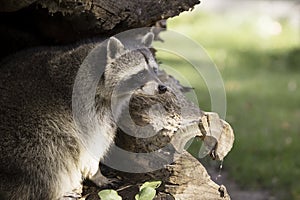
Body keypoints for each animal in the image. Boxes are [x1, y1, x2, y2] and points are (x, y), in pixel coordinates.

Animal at [0, 32, 175, 199]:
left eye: (154, 70)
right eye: (141, 74)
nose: (162, 88)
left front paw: (96, 174)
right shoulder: (85, 108)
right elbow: (91, 143)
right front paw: (95, 173)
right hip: (28, 136)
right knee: (48, 156)